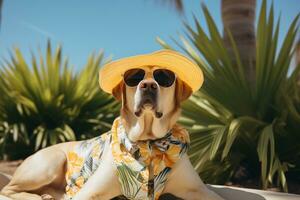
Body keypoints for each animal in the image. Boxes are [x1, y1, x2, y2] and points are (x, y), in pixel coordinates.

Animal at [0, 50, 223, 200]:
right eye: (134, 78)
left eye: (164, 77)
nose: (148, 85)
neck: (149, 143)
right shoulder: (90, 193)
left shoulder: (198, 189)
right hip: (51, 163)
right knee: (8, 189)